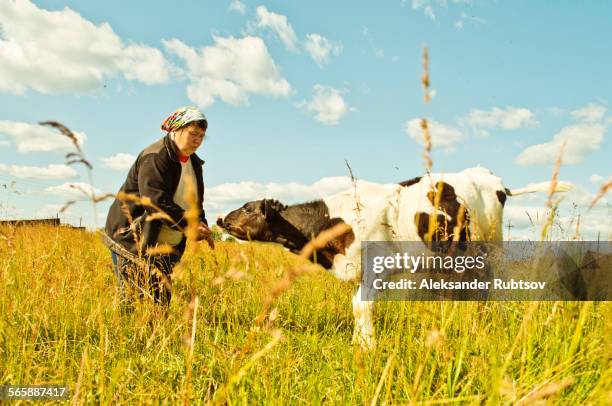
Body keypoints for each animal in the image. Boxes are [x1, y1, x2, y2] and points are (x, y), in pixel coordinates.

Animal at [218, 167, 572, 348]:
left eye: (248, 208)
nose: (221, 217)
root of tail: (492, 178)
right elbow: (357, 307)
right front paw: (359, 344)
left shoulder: (375, 268)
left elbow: (363, 306)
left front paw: (368, 347)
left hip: (492, 245)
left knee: (492, 290)